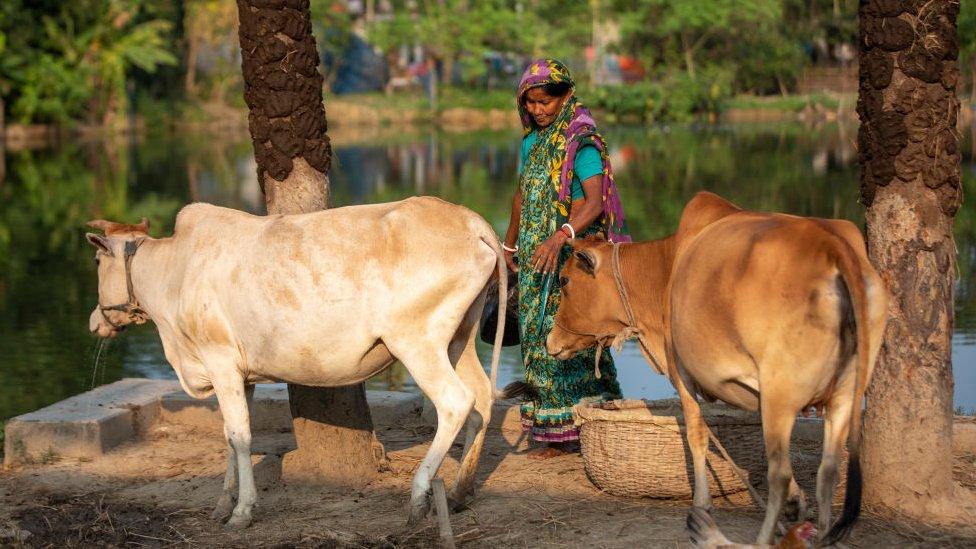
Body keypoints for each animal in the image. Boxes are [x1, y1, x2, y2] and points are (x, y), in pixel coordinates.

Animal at [86, 197, 508, 528]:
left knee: (455, 402)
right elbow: (228, 437)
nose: (94, 321)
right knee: (481, 401)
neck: (175, 273)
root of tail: (471, 221)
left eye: (96, 261)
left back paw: (419, 497)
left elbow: (240, 437)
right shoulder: (239, 375)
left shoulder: (220, 361)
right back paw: (460, 492)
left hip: (417, 342)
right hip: (459, 339)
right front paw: (222, 504)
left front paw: (242, 511)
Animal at [544, 193, 888, 544]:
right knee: (828, 471)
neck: (666, 267)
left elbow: (697, 434)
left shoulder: (681, 372)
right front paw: (797, 502)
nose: (550, 340)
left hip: (780, 392)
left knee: (778, 474)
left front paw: (702, 503)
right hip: (844, 395)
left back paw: (763, 539)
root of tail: (833, 246)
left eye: (565, 280)